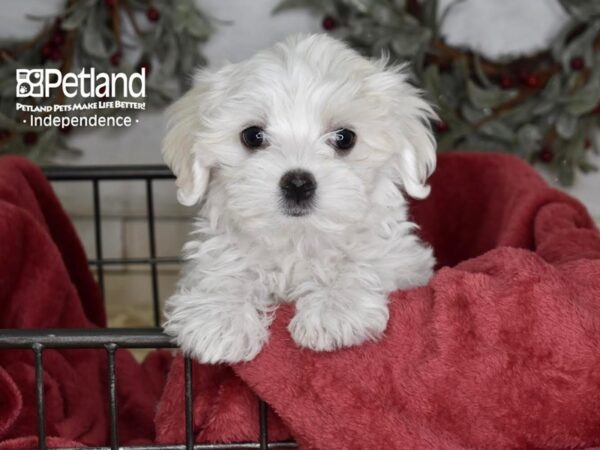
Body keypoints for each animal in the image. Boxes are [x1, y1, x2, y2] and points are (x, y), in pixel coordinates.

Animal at [163, 36, 436, 366]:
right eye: (252, 136)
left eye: (344, 138)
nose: (297, 183)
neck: (298, 239)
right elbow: (225, 268)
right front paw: (220, 316)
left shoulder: (403, 261)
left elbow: (362, 260)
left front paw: (334, 307)